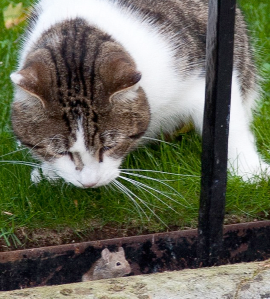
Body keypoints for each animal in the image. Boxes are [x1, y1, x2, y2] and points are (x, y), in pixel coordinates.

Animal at [9, 0, 268, 188]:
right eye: (60, 151)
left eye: (109, 146)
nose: (89, 183)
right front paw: (49, 172)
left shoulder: (199, 75)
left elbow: (228, 125)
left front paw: (249, 170)